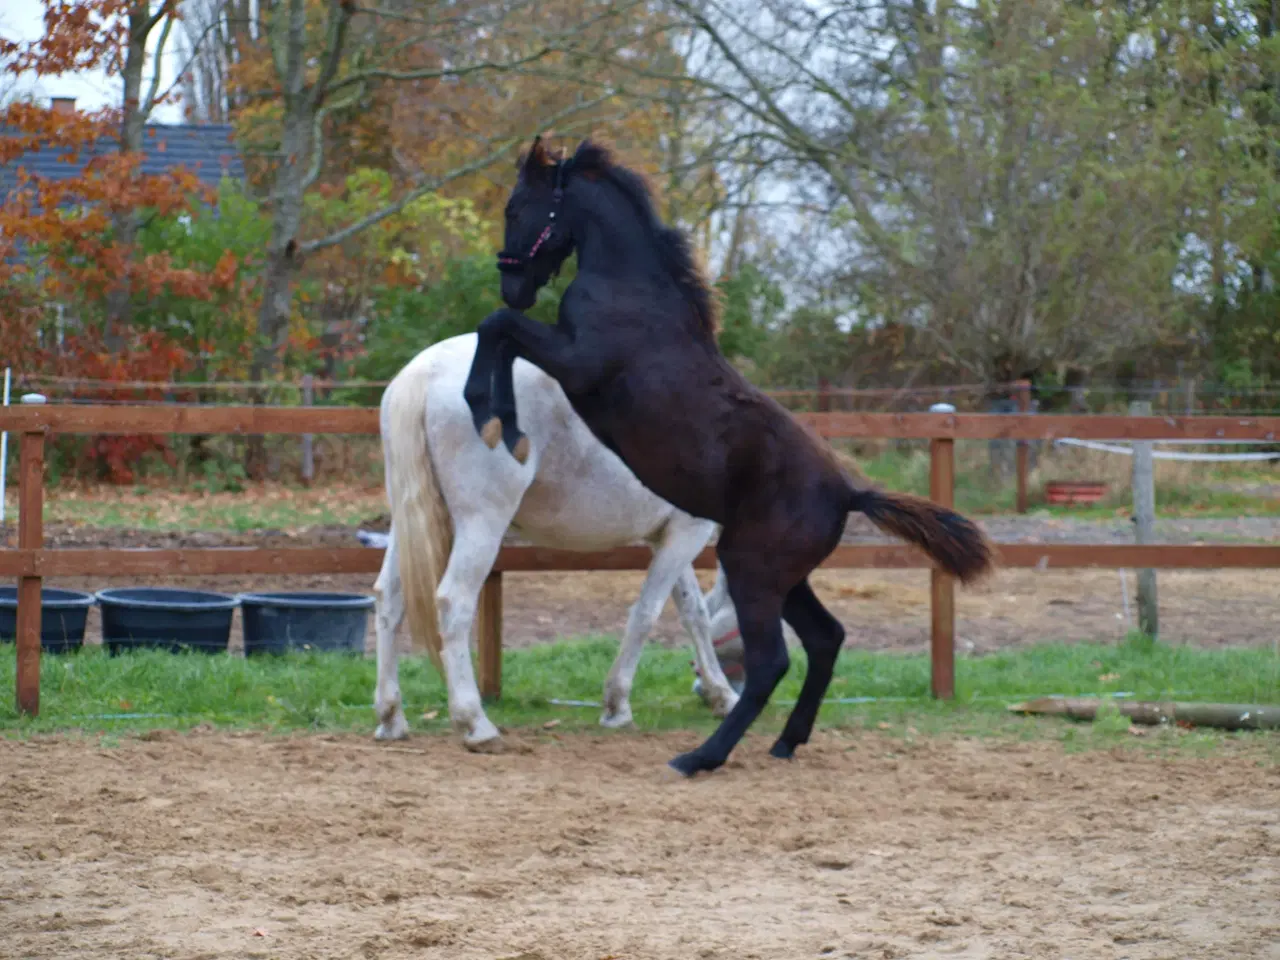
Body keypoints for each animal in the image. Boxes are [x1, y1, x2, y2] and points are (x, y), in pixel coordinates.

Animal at [371, 332, 747, 752]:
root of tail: (424, 374)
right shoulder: (688, 532)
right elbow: (647, 613)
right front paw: (617, 706)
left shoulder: (667, 536)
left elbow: (693, 612)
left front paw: (721, 696)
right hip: (480, 524)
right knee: (454, 602)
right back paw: (476, 724)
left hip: (407, 520)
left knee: (389, 599)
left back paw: (391, 718)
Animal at [465, 138, 993, 778]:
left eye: (517, 208)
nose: (511, 285)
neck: (628, 289)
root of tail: (849, 492)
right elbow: (501, 333)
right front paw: (502, 422)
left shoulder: (578, 363)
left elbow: (499, 328)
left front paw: (494, 417)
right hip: (781, 576)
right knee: (826, 638)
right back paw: (786, 741)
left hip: (751, 570)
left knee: (771, 663)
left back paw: (701, 756)